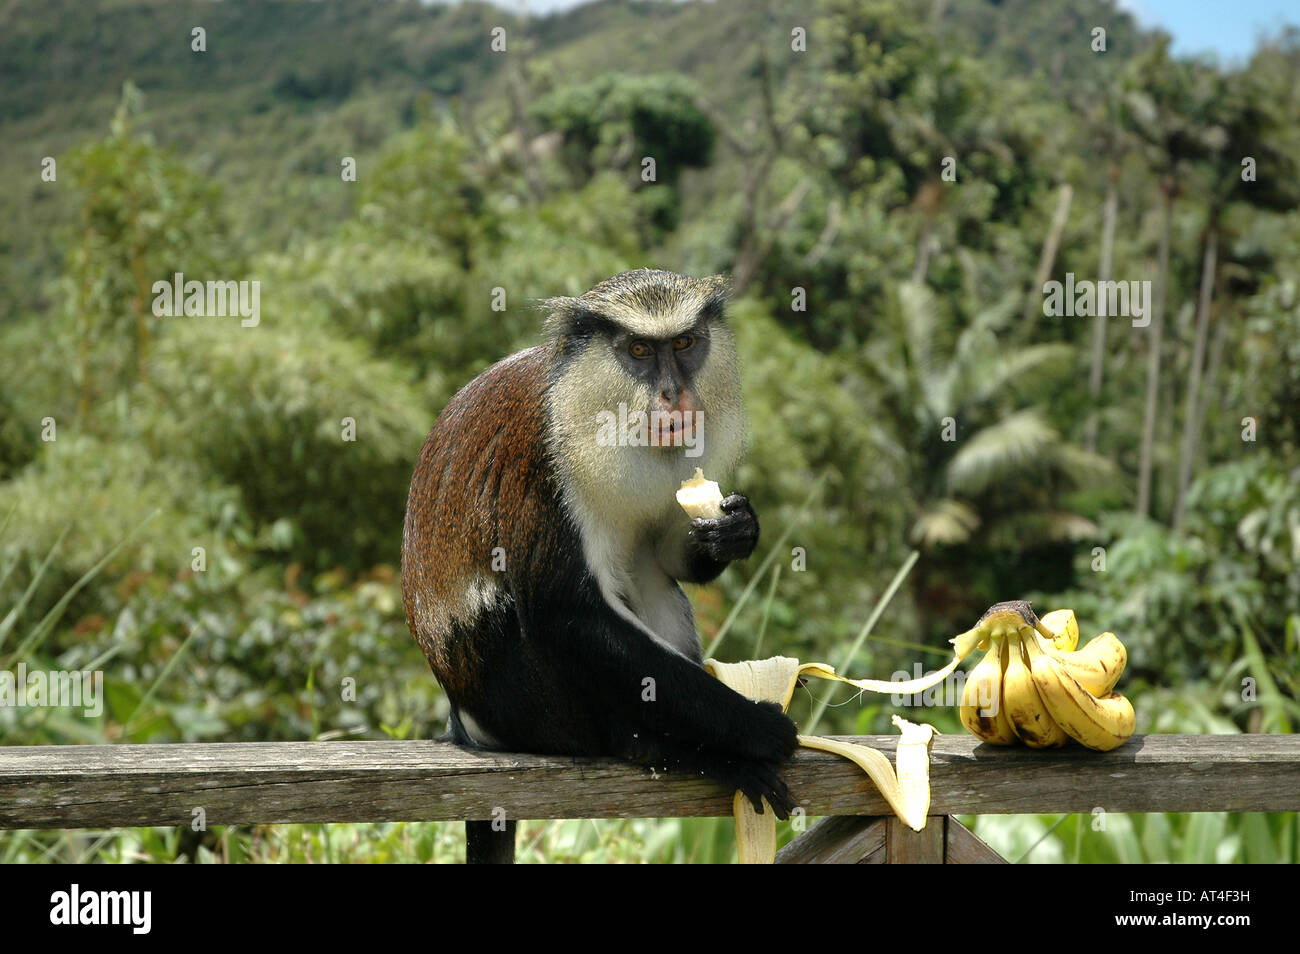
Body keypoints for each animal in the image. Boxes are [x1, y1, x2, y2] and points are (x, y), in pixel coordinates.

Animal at [401, 268, 797, 864]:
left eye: (684, 343)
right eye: (638, 350)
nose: (673, 394)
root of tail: (462, 721)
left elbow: (664, 557)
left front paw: (737, 528)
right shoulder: (541, 463)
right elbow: (569, 614)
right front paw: (754, 726)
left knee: (652, 580)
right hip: (526, 705)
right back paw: (675, 749)